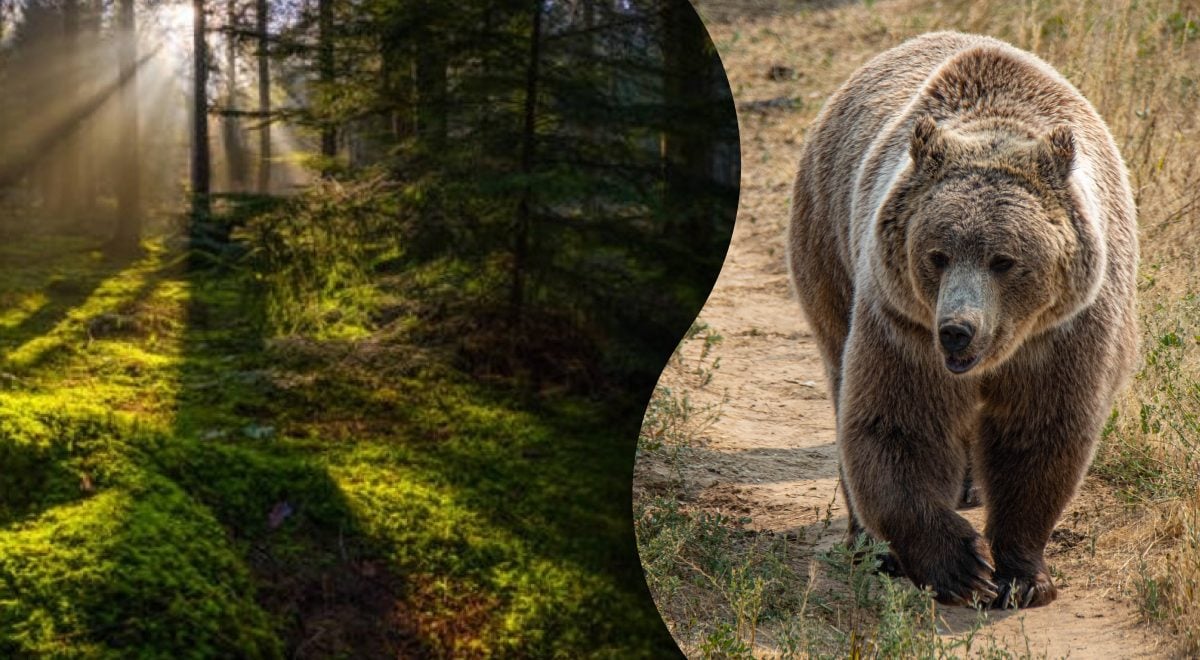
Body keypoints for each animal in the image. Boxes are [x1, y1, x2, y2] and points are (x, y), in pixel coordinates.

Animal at [787, 32, 1132, 609]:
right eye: (937, 254)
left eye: (1004, 260)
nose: (956, 329)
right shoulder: (902, 323)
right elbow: (897, 425)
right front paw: (961, 567)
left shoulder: (1067, 331)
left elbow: (1039, 433)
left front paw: (1022, 575)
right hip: (829, 245)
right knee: (839, 373)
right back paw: (870, 546)